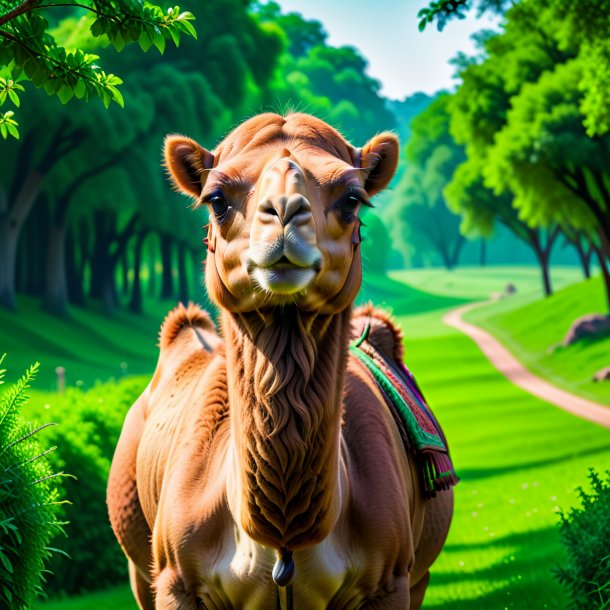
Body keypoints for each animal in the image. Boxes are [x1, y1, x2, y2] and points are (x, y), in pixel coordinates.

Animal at [108, 114, 452, 608]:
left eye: (351, 198)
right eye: (216, 199)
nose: (285, 211)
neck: (282, 543)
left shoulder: (391, 580)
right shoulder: (175, 579)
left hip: (419, 576)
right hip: (139, 566)